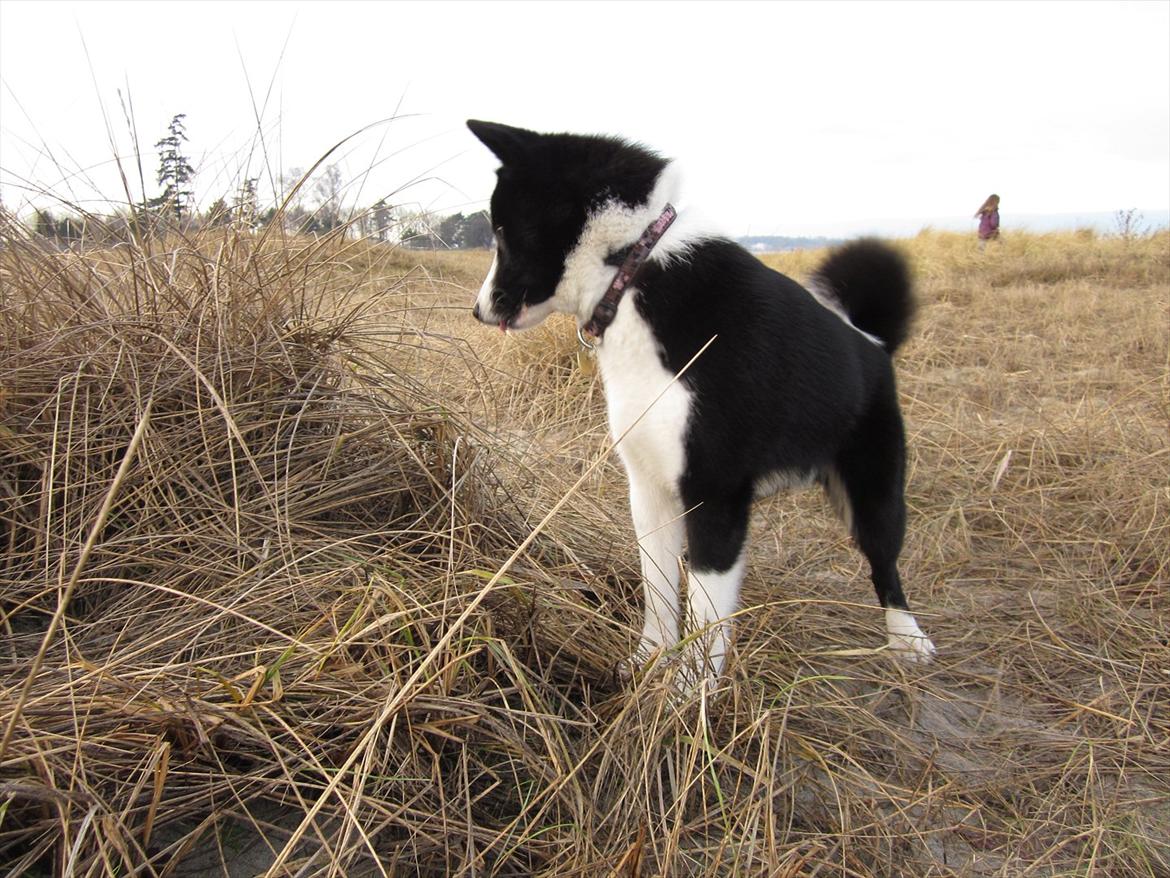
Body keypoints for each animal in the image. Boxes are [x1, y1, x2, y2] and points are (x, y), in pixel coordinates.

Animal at [465, 120, 931, 683]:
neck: (631, 269)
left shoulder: (715, 496)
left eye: (501, 233)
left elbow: (706, 614)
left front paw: (691, 692)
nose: (477, 310)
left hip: (873, 493)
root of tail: (873, 344)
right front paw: (647, 664)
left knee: (885, 563)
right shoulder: (648, 491)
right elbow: (660, 591)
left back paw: (907, 638)